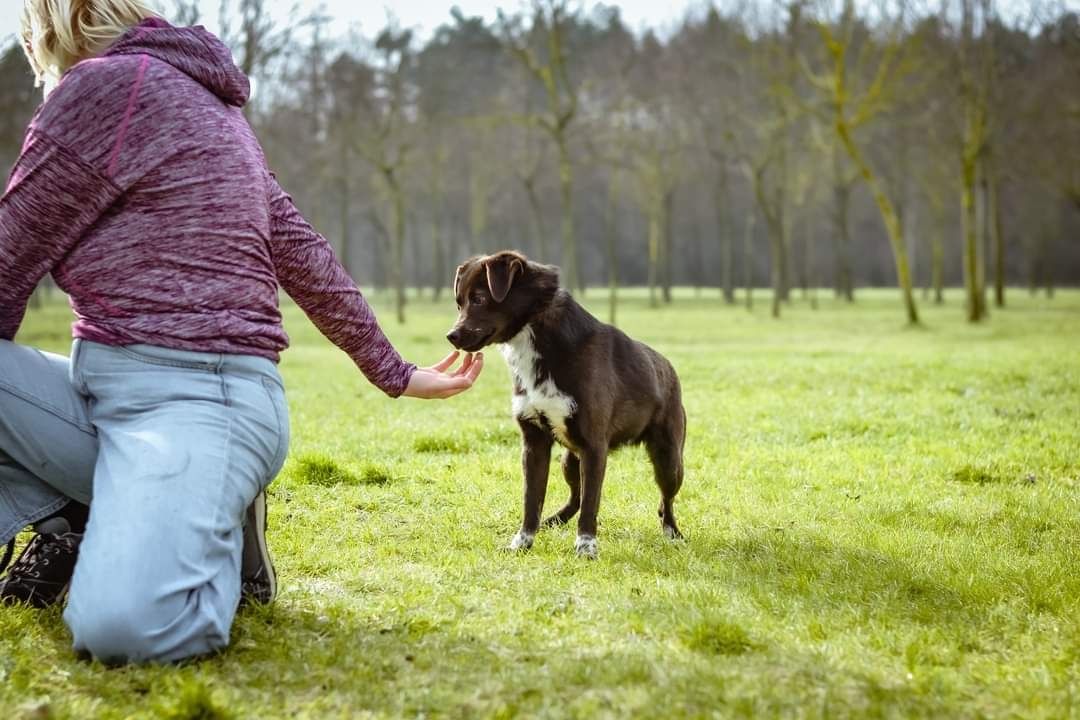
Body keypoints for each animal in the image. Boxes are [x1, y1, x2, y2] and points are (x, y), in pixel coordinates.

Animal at [444, 250, 682, 561]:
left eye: (480, 299)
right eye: (459, 302)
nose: (452, 336)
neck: (536, 332)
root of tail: (668, 366)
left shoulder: (594, 447)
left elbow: (592, 504)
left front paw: (586, 547)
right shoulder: (534, 443)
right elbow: (532, 500)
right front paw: (523, 542)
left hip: (669, 460)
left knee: (666, 500)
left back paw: (672, 533)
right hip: (570, 459)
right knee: (576, 497)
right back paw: (554, 521)